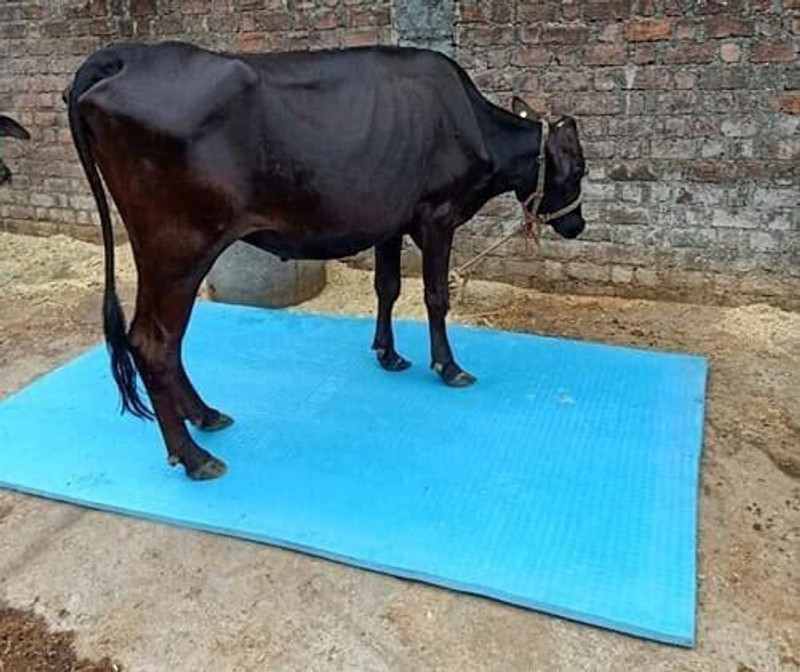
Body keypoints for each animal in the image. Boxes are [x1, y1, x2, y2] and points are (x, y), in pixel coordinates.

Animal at [66, 42, 587, 480]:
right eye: (579, 168)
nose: (577, 225)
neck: (471, 126)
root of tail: (125, 55)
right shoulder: (438, 215)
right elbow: (435, 297)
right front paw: (448, 366)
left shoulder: (390, 220)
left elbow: (387, 287)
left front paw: (388, 354)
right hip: (179, 249)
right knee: (155, 343)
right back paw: (195, 457)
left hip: (160, 251)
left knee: (162, 344)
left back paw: (207, 417)